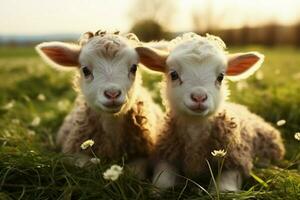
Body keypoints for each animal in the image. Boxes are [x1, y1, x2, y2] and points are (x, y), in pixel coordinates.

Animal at [136, 33, 286, 191]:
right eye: (174, 74)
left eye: (220, 77)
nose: (199, 97)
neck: (195, 126)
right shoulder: (166, 155)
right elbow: (162, 183)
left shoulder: (234, 162)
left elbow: (224, 189)